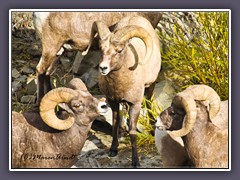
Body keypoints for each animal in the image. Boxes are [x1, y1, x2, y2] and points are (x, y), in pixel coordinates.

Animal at [84, 15, 161, 167]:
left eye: (119, 50)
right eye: (101, 49)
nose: (103, 68)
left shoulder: (135, 105)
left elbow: (133, 131)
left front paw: (135, 162)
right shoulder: (113, 101)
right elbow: (115, 123)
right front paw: (113, 150)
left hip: (151, 85)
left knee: (149, 103)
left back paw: (152, 127)